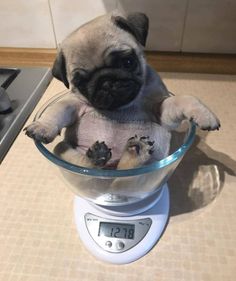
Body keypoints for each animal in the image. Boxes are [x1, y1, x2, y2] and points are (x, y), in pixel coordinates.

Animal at [24, 10, 219, 170]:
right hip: (65, 149)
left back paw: (135, 152)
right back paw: (102, 156)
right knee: (91, 165)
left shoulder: (161, 112)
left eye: (128, 62)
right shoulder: (73, 104)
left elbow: (184, 99)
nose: (106, 82)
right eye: (81, 82)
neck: (122, 107)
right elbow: (57, 108)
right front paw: (43, 126)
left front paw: (204, 114)